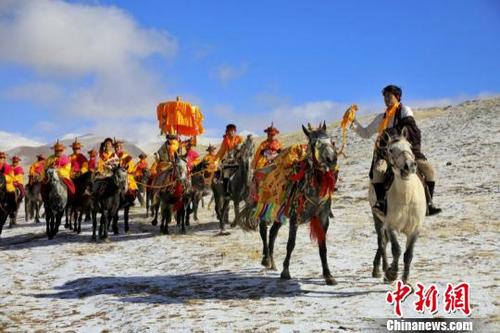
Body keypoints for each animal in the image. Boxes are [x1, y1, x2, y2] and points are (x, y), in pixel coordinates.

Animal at [368, 127, 426, 282]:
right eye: (390, 150)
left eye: (410, 146)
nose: (409, 166)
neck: (407, 198)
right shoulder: (391, 226)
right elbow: (396, 250)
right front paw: (392, 273)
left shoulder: (415, 230)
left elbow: (408, 254)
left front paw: (405, 279)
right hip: (377, 218)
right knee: (382, 242)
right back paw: (380, 269)